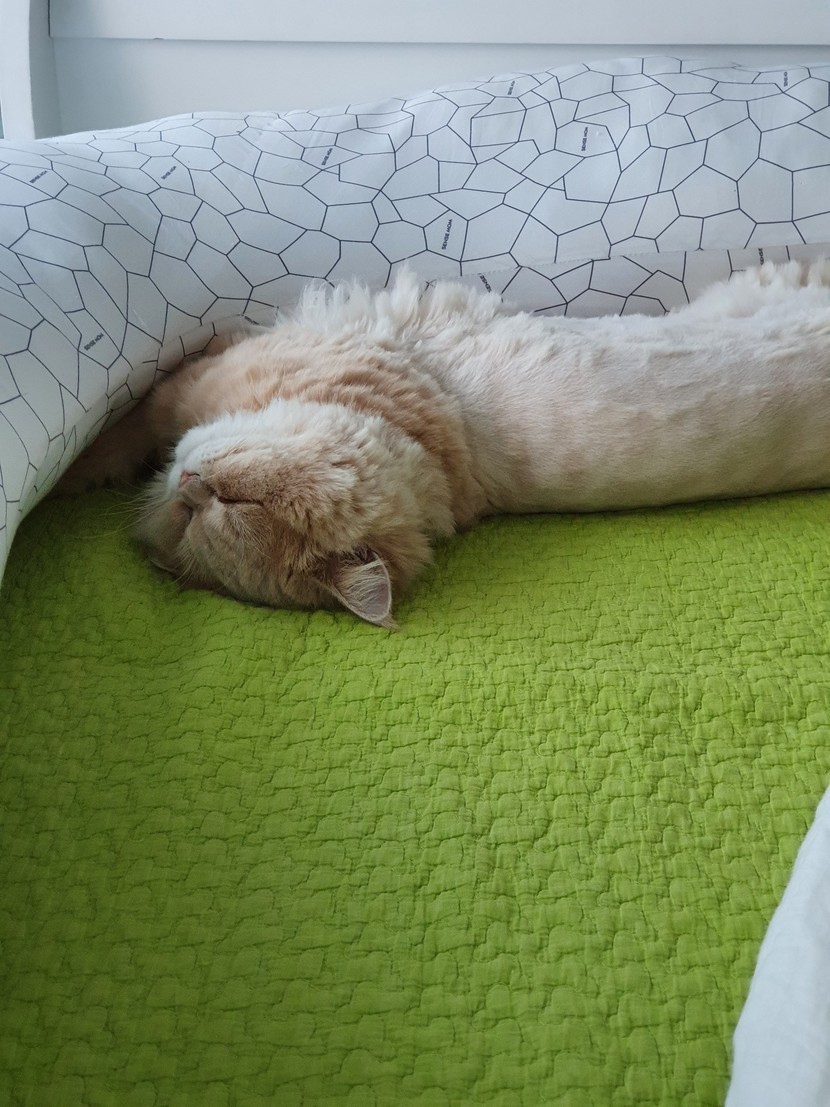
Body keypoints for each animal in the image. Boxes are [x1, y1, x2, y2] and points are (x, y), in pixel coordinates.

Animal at [61, 260, 830, 627]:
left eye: (231, 500)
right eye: (190, 516)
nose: (188, 484)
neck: (440, 447)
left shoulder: (199, 376)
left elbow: (128, 420)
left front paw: (74, 469)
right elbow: (136, 426)